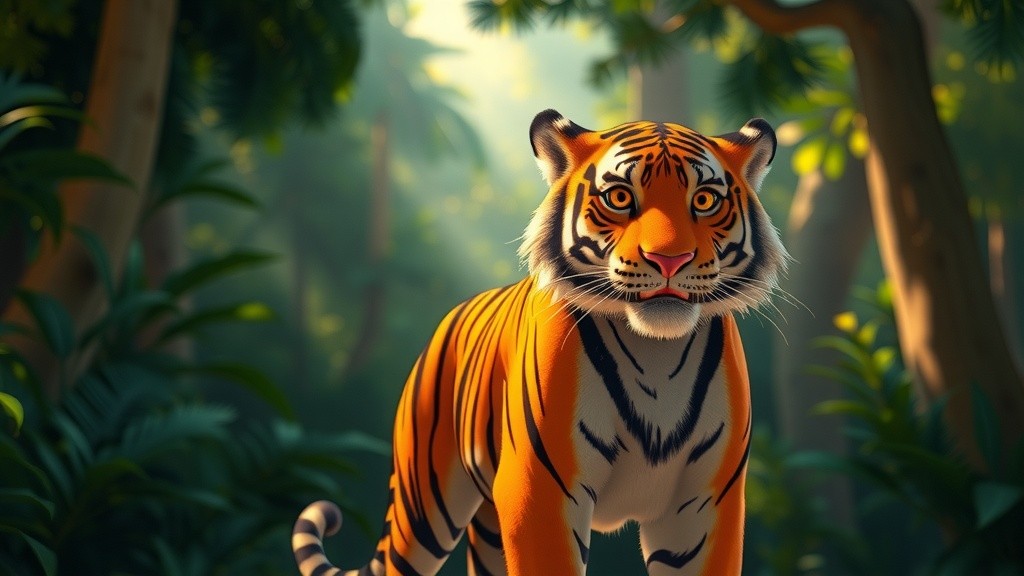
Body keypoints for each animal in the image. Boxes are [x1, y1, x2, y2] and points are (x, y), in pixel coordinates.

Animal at [293, 109, 788, 576]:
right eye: (620, 197)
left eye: (704, 200)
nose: (670, 259)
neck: (656, 354)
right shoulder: (540, 490)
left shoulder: (706, 502)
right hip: (424, 505)